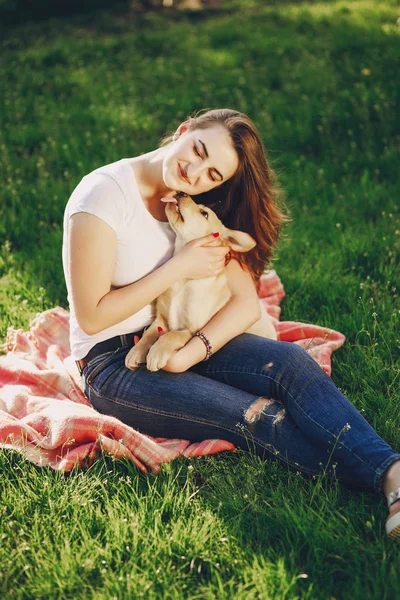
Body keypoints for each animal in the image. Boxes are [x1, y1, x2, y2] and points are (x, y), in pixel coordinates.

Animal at [126, 192, 276, 370]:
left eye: (204, 213)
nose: (181, 192)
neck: (184, 279)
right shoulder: (160, 319)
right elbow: (148, 334)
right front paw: (136, 352)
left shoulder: (191, 330)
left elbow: (172, 335)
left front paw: (157, 353)